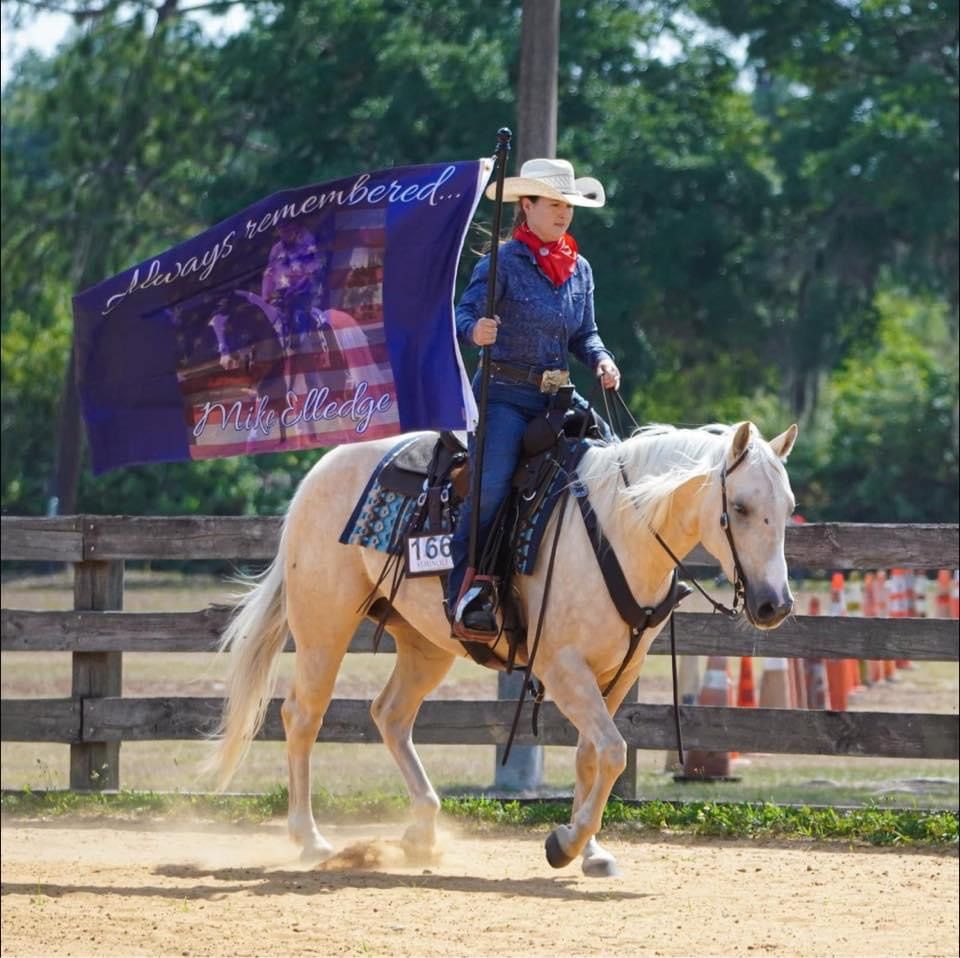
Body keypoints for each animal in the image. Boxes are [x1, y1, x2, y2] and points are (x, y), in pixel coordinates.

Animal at [206, 420, 800, 876]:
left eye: (789, 504)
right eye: (740, 506)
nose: (774, 604)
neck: (618, 528)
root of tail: (317, 473)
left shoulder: (620, 670)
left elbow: (592, 756)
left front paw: (591, 850)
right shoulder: (562, 667)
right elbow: (612, 751)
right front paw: (565, 844)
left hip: (425, 644)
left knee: (390, 714)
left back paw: (422, 830)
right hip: (323, 627)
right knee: (302, 716)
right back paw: (309, 838)